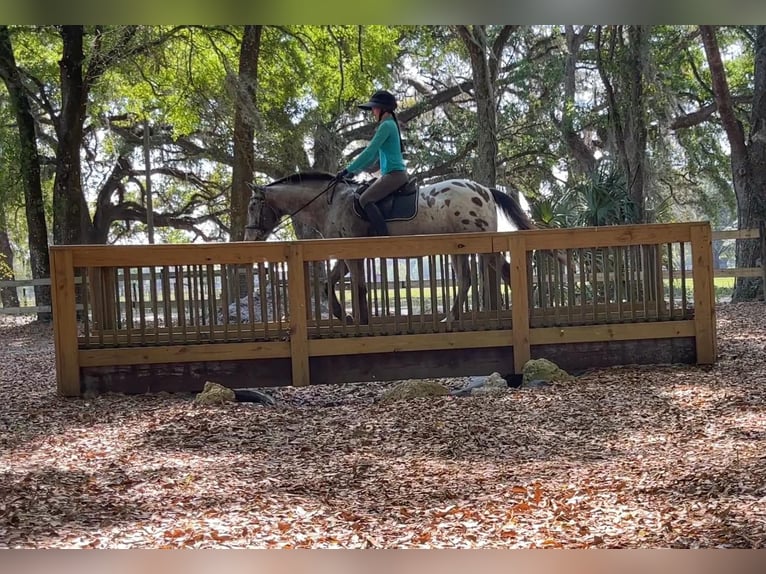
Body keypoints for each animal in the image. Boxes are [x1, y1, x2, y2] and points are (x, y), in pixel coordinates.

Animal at [246, 171, 544, 324]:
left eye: (252, 206)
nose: (249, 239)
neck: (330, 204)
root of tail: (485, 190)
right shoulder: (343, 255)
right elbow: (329, 284)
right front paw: (345, 316)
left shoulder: (351, 253)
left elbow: (358, 287)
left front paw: (359, 320)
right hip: (459, 247)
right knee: (466, 279)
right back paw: (450, 318)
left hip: (482, 244)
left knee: (504, 272)